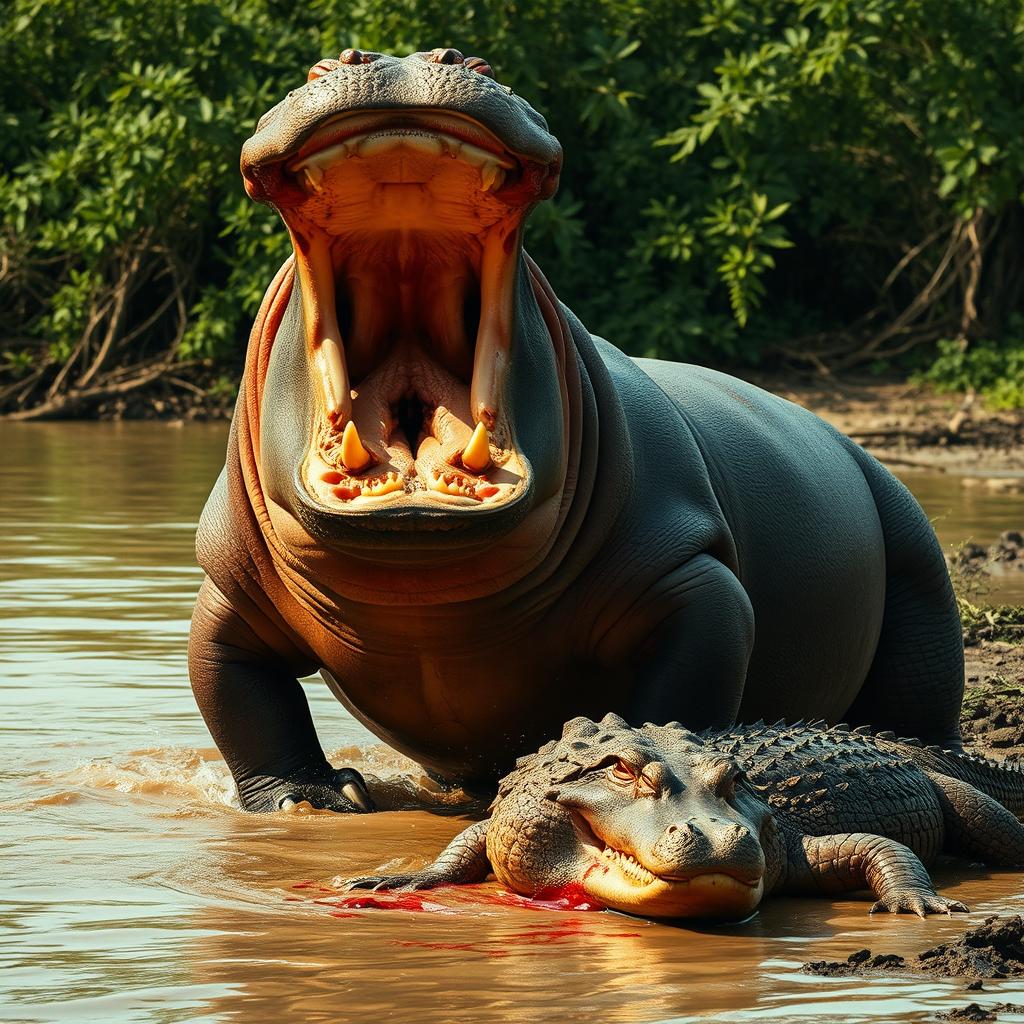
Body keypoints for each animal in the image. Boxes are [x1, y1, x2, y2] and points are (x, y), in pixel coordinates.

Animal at [188, 47, 964, 813]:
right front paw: (309, 800)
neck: (422, 591)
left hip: (919, 571)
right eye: (315, 70)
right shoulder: (230, 587)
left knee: (924, 689)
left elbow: (688, 681)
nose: (404, 59)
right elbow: (234, 690)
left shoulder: (692, 576)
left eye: (481, 64)